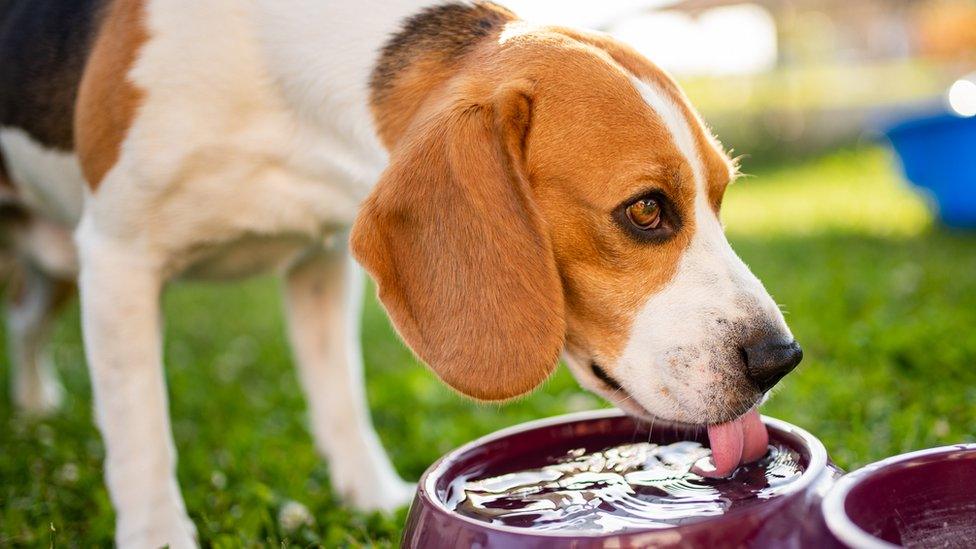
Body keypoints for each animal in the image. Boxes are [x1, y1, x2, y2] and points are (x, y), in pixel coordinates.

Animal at [1, 2, 800, 544]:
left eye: (721, 196)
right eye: (646, 210)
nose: (779, 358)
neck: (276, 81)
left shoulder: (320, 259)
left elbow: (340, 396)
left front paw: (371, 495)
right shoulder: (119, 255)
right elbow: (140, 429)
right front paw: (158, 533)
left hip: (56, 264)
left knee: (29, 323)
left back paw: (36, 401)